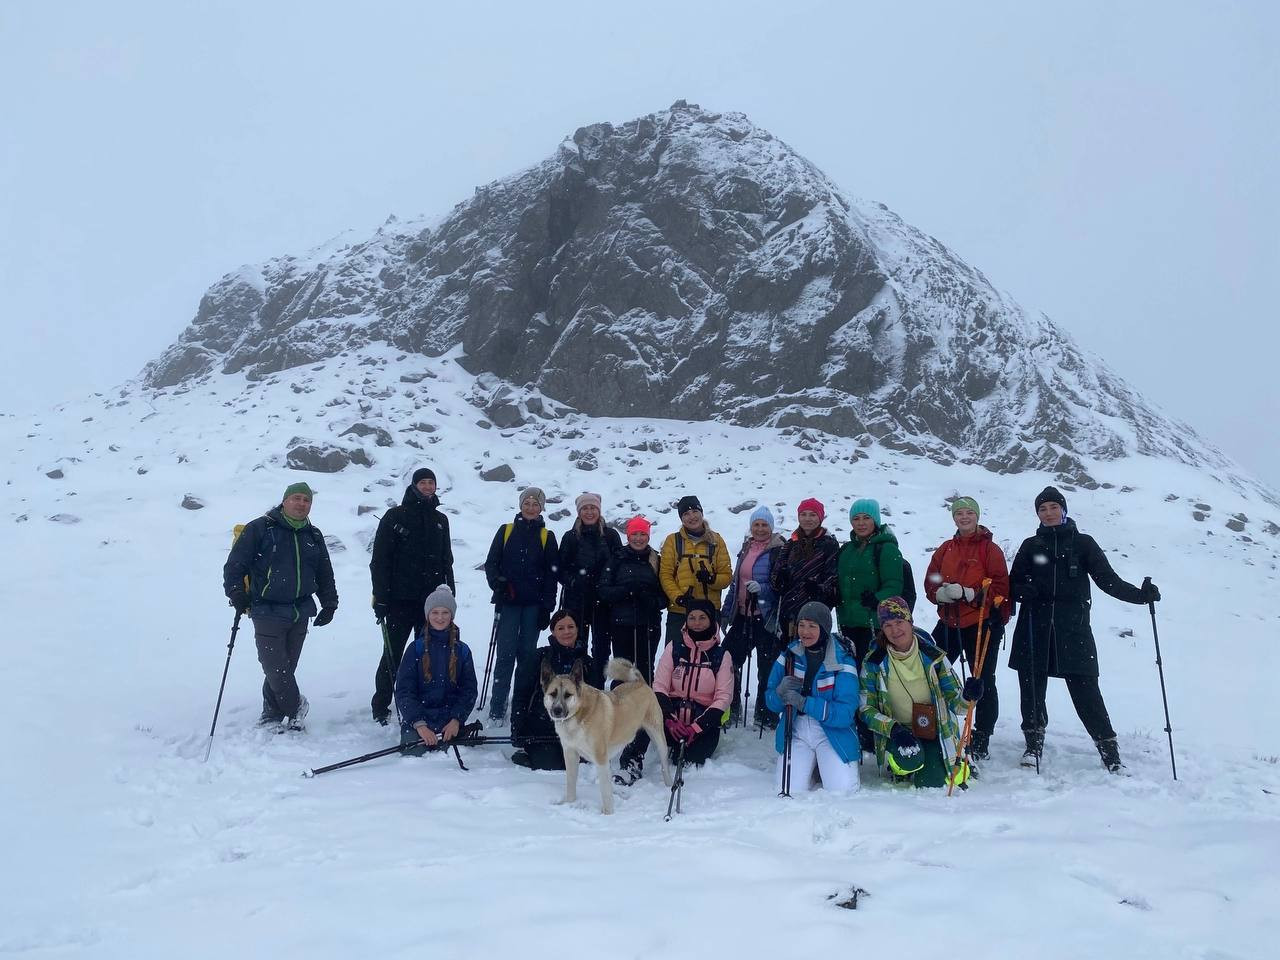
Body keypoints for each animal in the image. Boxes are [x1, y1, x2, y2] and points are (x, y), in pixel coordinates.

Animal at [540, 660, 675, 814]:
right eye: (553, 694)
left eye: (568, 695)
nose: (557, 710)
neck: (579, 714)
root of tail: (640, 682)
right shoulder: (570, 754)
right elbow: (570, 783)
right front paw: (569, 804)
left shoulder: (601, 758)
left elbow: (605, 791)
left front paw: (607, 814)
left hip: (657, 736)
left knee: (664, 765)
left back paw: (669, 785)